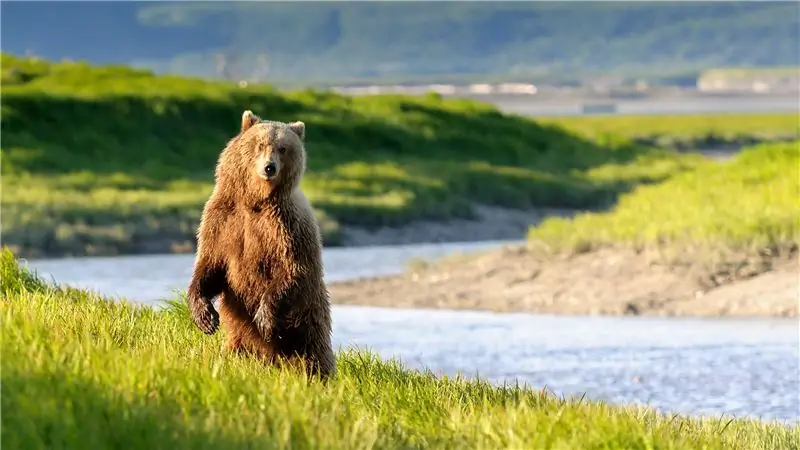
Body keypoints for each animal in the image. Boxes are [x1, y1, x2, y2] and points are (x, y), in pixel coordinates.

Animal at [185, 110, 336, 380]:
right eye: (260, 144)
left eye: (283, 148)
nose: (269, 167)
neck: (256, 201)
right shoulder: (223, 219)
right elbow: (210, 263)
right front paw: (205, 317)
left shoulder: (286, 227)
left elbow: (292, 268)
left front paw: (265, 319)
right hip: (241, 337)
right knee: (236, 350)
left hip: (308, 321)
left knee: (313, 355)